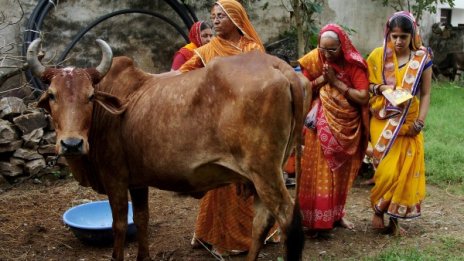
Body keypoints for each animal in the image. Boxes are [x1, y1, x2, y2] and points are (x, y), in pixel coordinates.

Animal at [29, 38, 312, 260]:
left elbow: (118, 225)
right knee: (261, 223)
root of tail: (280, 66)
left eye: (90, 96)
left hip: (264, 172)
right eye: (52, 95)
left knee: (288, 221)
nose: (72, 144)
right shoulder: (137, 182)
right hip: (263, 174)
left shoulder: (115, 179)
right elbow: (141, 219)